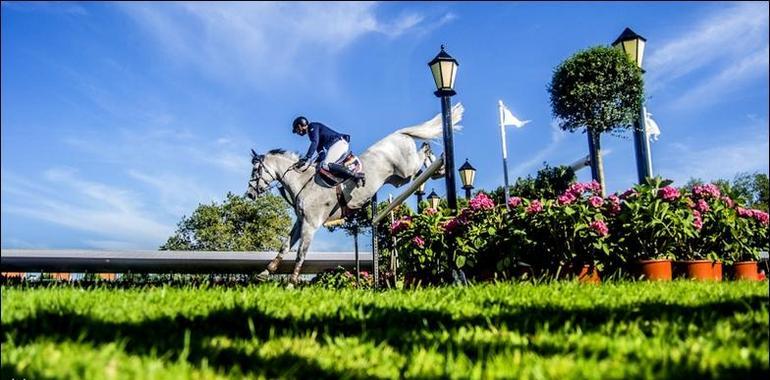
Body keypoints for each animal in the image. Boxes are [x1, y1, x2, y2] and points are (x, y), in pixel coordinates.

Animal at [246, 102, 462, 284]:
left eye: (256, 171)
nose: (249, 194)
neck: (302, 182)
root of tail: (399, 133)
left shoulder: (311, 224)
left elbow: (301, 253)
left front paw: (291, 283)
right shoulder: (301, 222)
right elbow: (285, 246)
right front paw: (265, 272)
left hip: (405, 169)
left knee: (424, 150)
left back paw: (440, 165)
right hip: (401, 178)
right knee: (420, 159)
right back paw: (438, 169)